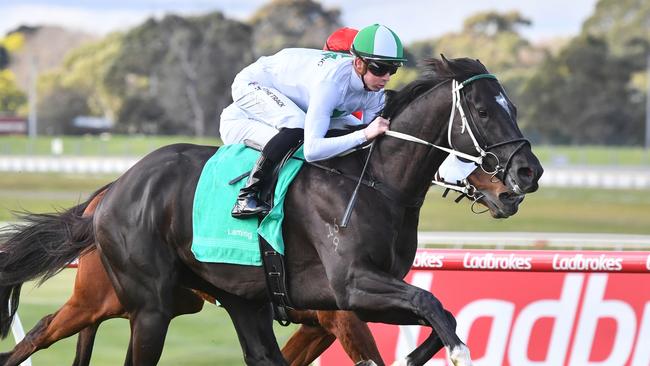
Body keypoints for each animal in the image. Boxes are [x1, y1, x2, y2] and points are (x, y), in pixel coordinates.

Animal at [0, 55, 540, 364]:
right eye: (483, 110)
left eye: (513, 106)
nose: (527, 174)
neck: (373, 181)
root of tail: (113, 190)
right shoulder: (350, 291)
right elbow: (429, 305)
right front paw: (458, 351)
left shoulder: (351, 303)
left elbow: (439, 312)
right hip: (143, 305)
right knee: (56, 331)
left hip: (226, 299)